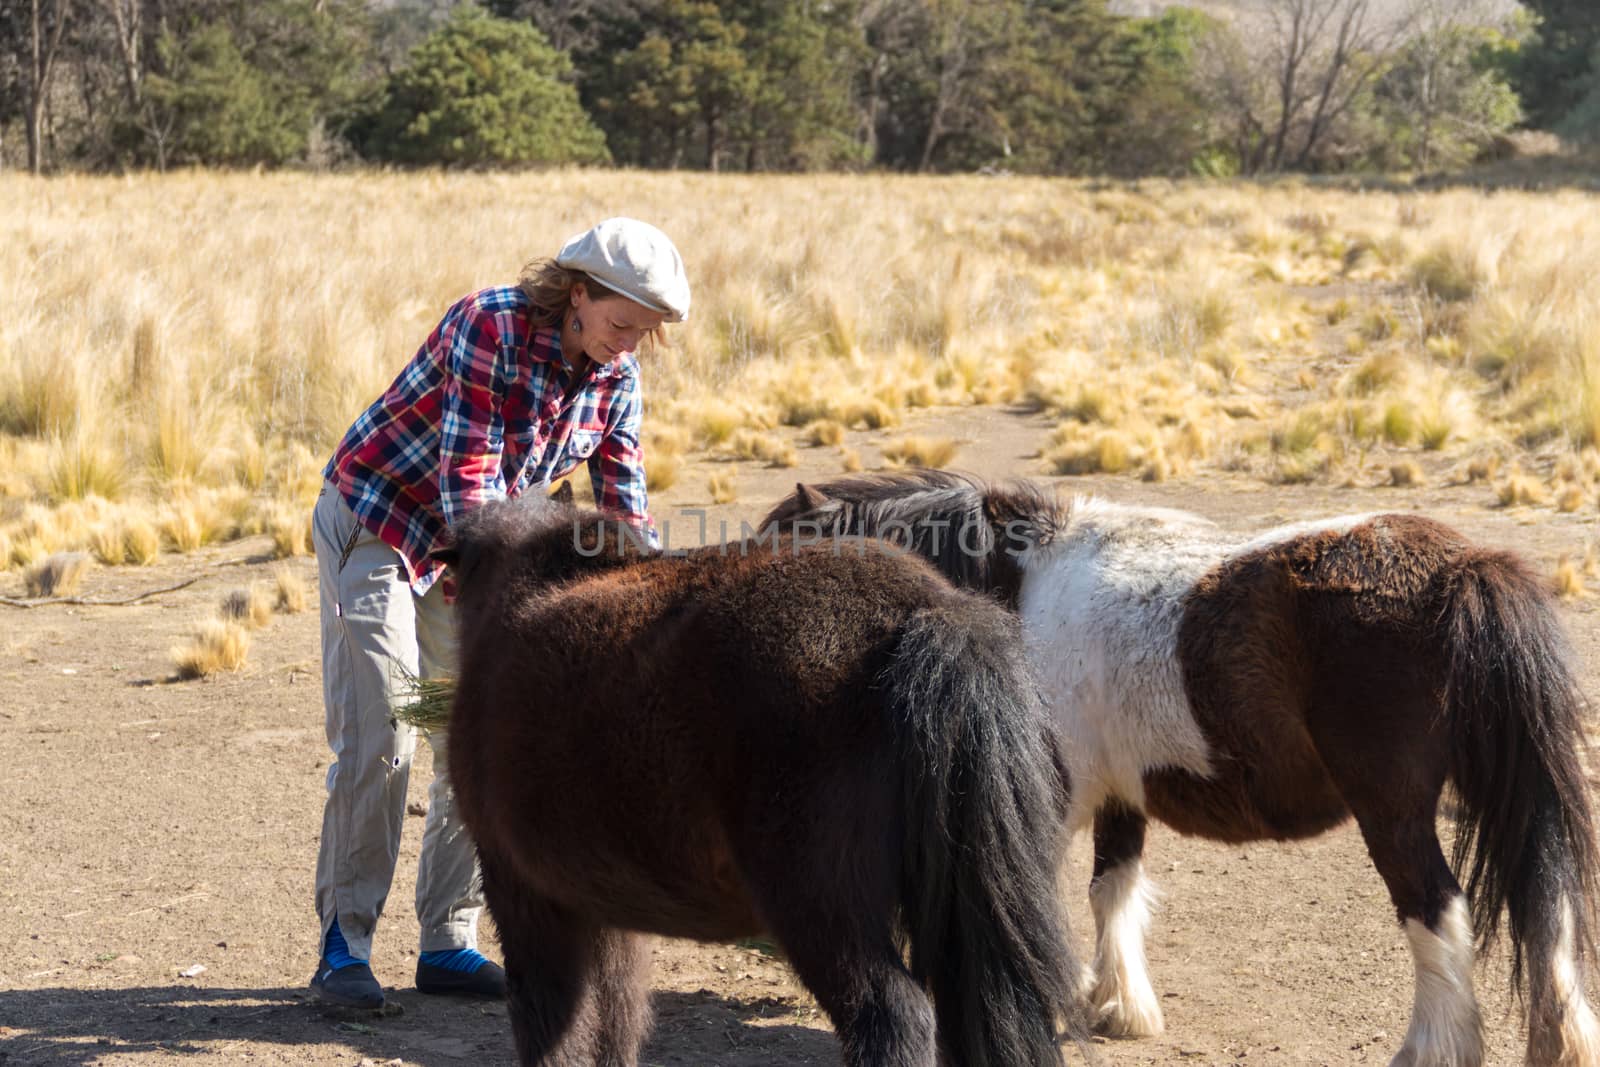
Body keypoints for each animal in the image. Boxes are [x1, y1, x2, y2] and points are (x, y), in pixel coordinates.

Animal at [435, 495, 1088, 1067]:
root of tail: (926, 610)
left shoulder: (525, 893)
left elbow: (554, 1025)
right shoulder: (602, 912)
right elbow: (615, 1018)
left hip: (817, 904)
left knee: (894, 1018)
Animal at [761, 473, 1600, 1067]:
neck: (1020, 587)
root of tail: (1465, 566)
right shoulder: (1119, 792)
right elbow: (1113, 887)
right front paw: (1119, 1004)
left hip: (1393, 813)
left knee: (1437, 912)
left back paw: (1433, 1049)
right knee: (1548, 905)